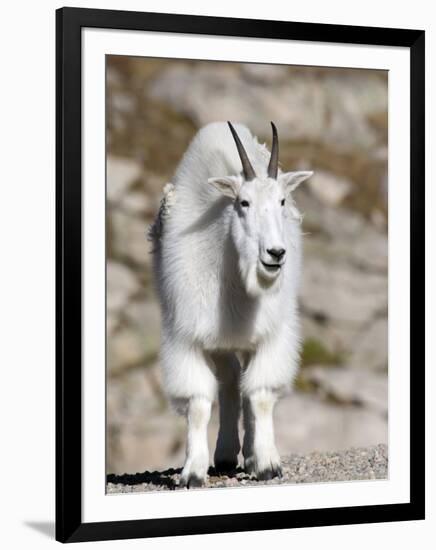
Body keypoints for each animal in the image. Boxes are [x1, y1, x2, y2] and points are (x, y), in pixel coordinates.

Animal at [150, 123, 314, 490]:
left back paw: (249, 454)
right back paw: (225, 454)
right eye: (243, 202)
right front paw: (192, 472)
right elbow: (198, 404)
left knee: (245, 385)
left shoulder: (271, 335)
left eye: (282, 200)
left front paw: (267, 464)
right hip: (219, 342)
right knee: (230, 379)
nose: (275, 254)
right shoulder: (188, 337)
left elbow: (261, 394)